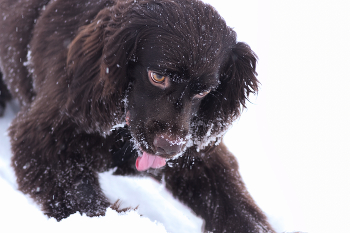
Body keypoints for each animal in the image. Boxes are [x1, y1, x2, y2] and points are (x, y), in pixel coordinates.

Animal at [0, 0, 274, 232]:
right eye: (157, 77)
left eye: (204, 91)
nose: (169, 147)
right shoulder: (46, 135)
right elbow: (78, 192)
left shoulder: (197, 151)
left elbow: (234, 203)